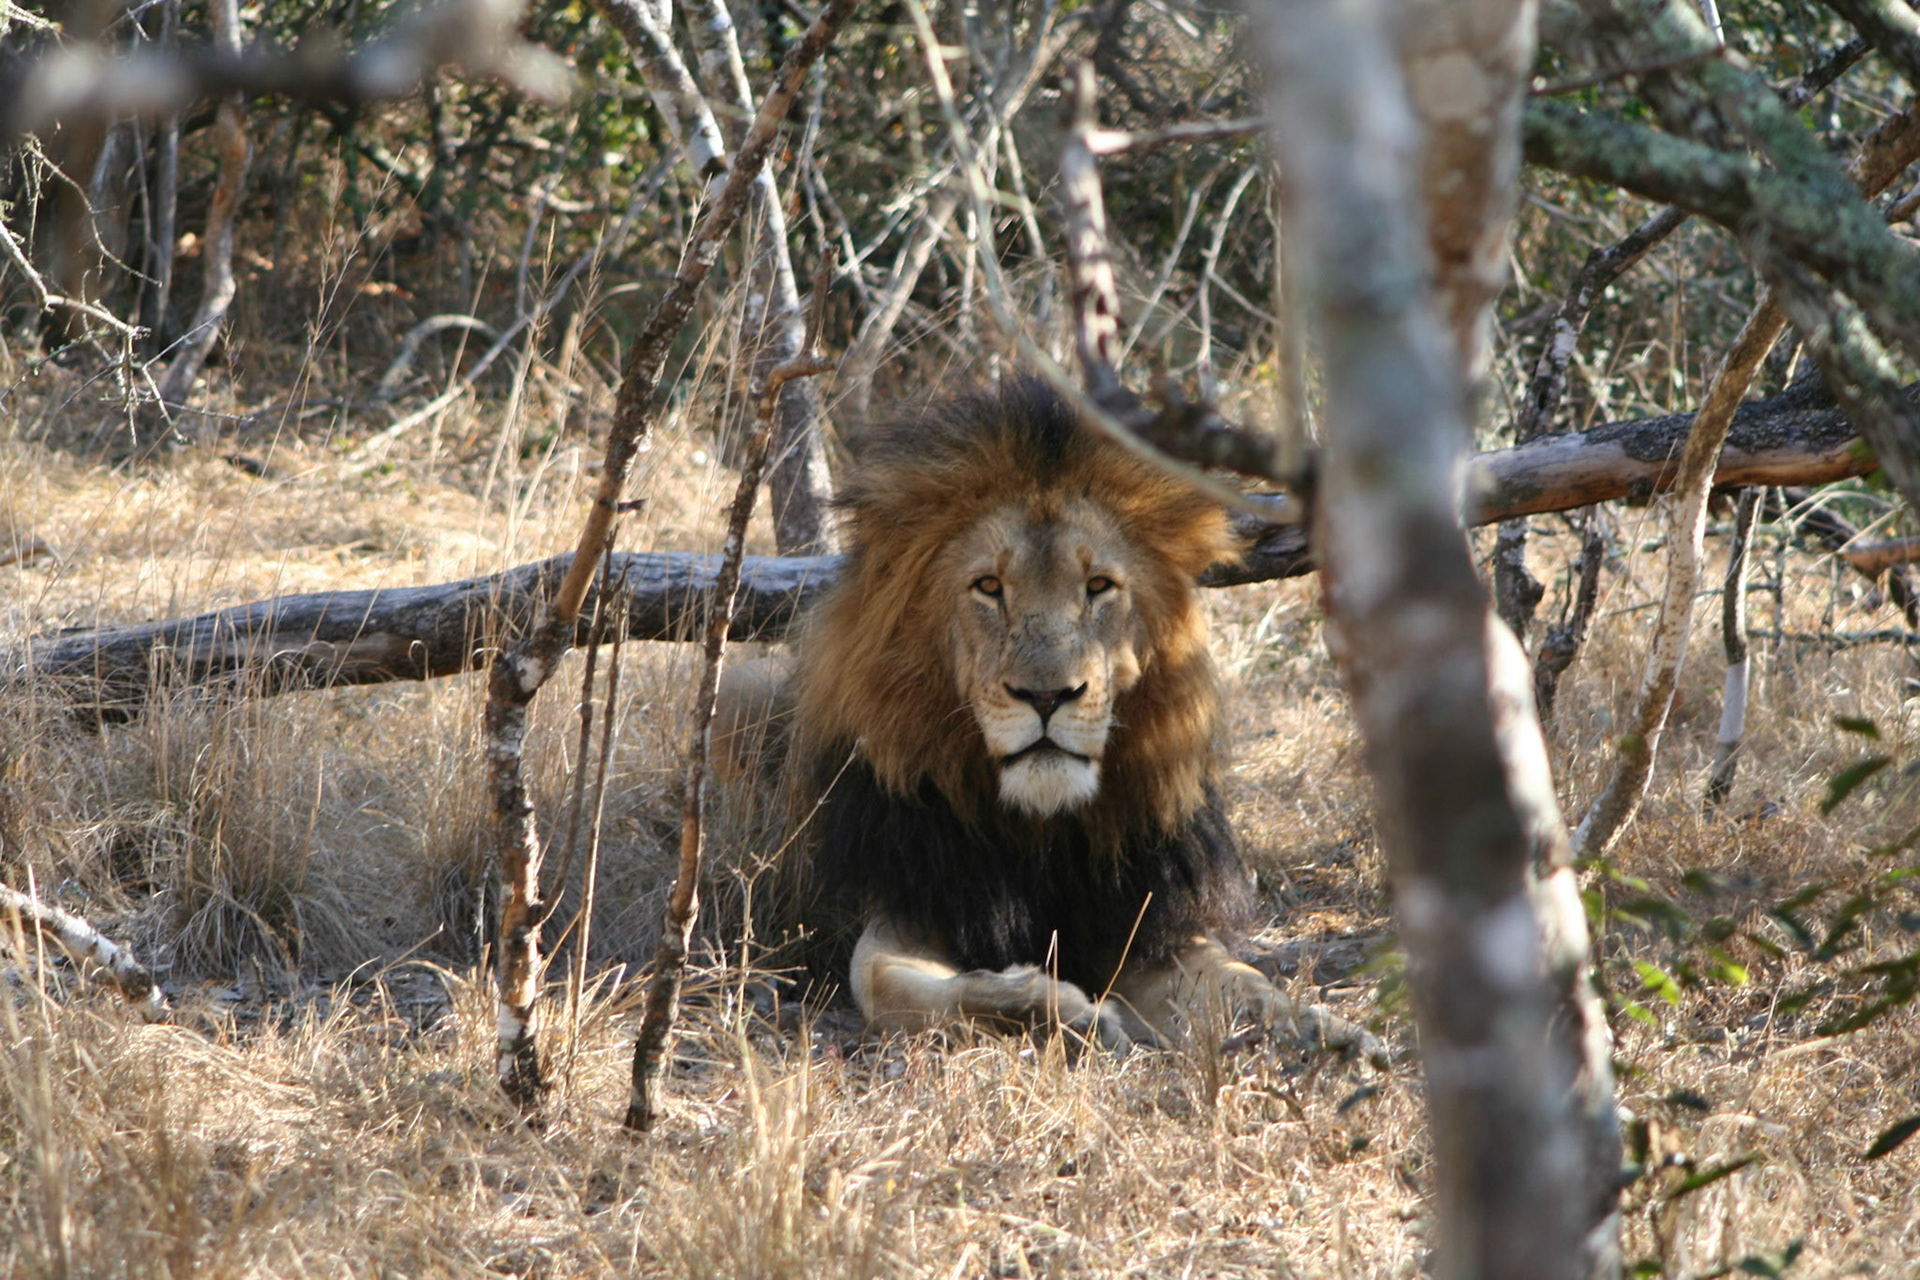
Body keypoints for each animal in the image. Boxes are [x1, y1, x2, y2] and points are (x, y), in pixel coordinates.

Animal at [721, 377, 1381, 1062]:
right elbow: (884, 981)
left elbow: (1240, 981)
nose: (1046, 696)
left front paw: (1322, 1032)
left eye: (1098, 586)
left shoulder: (1147, 919)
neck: (1042, 829)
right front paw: (1060, 1012)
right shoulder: (912, 905)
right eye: (988, 586)